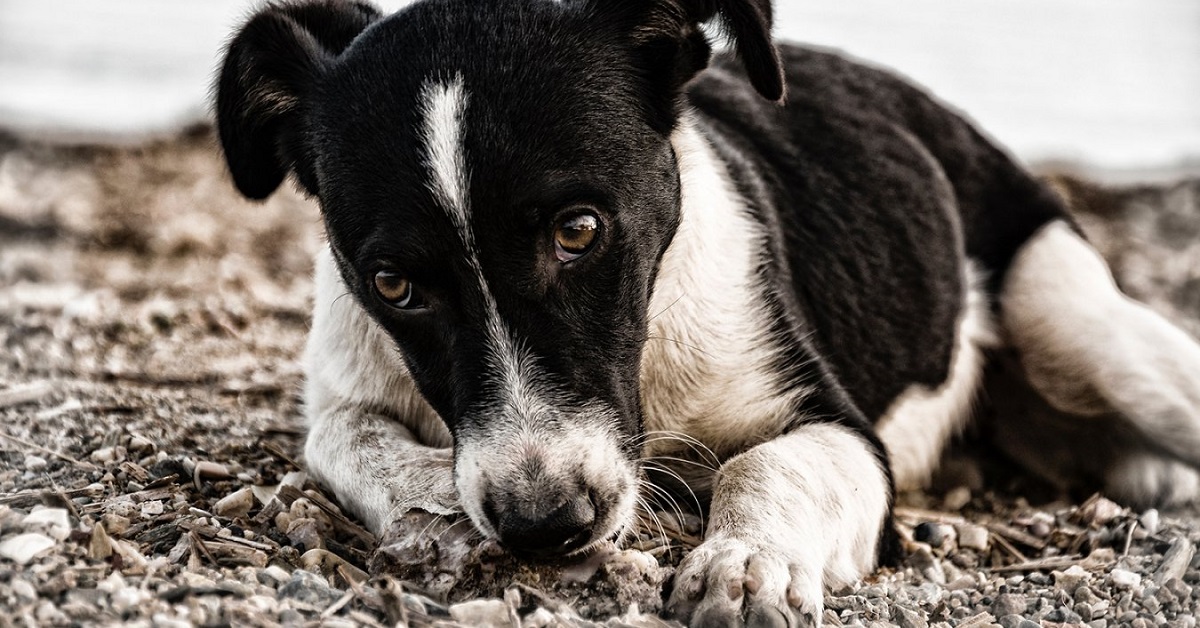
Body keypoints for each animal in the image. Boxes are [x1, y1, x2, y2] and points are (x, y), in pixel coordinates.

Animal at [213, 0, 1200, 624]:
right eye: (392, 285)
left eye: (579, 230)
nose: (545, 526)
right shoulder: (346, 382)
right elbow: (352, 439)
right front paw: (434, 503)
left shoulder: (840, 432)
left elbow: (766, 466)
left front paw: (746, 565)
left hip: (1081, 328)